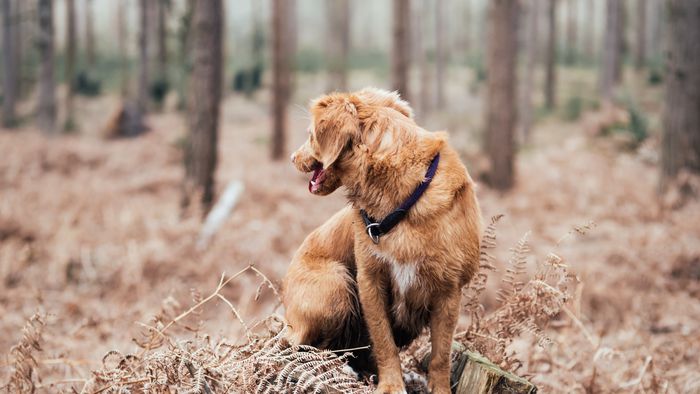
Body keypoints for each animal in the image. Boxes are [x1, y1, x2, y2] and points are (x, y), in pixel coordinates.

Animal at [280, 88, 482, 394]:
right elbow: (384, 341)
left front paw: (439, 389)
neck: (402, 196)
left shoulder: (449, 290)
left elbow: (441, 354)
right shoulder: (370, 280)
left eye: (311, 134)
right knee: (300, 348)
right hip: (336, 285)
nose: (292, 157)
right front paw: (391, 384)